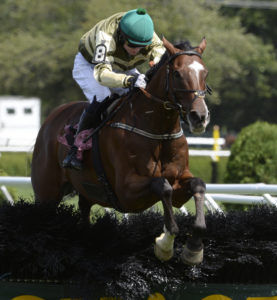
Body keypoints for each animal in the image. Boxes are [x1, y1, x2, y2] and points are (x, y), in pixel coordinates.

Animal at [31, 37, 209, 264]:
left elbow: (197, 185)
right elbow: (162, 186)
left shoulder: (179, 181)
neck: (157, 129)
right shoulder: (126, 192)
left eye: (205, 73)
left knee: (84, 211)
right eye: (177, 73)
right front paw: (165, 244)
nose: (199, 117)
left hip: (87, 191)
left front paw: (194, 248)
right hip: (46, 193)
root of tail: (51, 118)